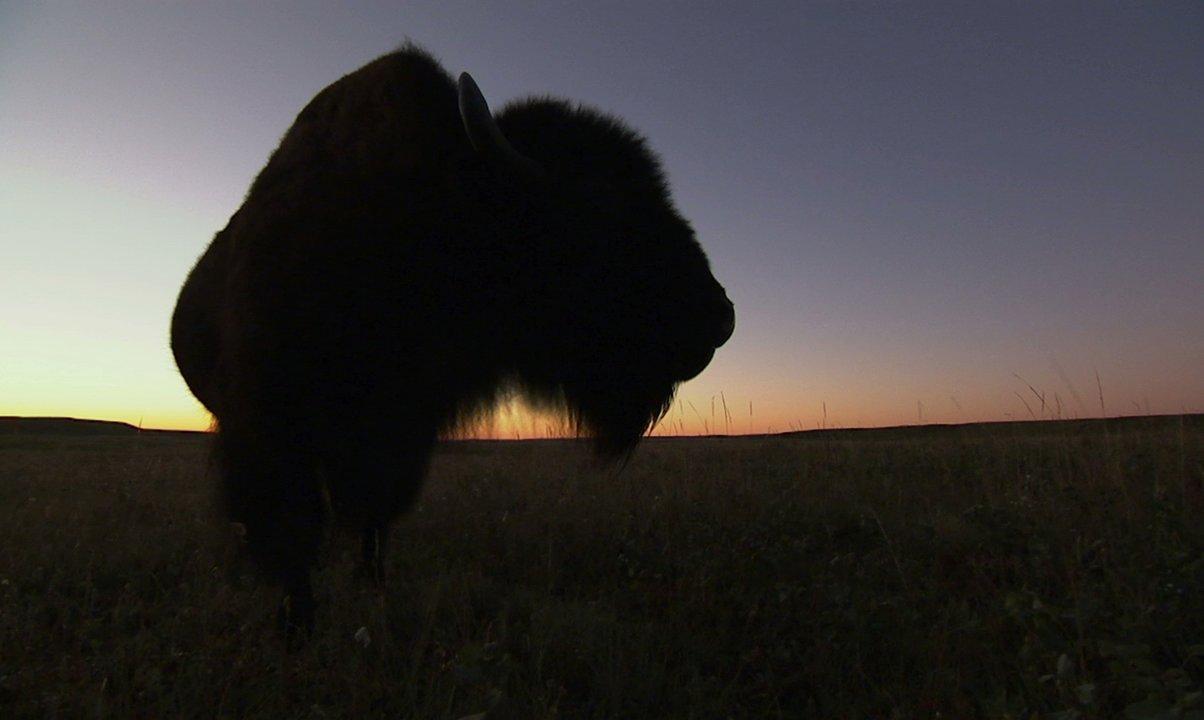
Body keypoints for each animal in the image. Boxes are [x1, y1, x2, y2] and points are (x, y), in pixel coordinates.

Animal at [171, 45, 734, 642]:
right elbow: (290, 527)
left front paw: (371, 592)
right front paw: (296, 625)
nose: (720, 317)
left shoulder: (400, 435)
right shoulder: (270, 428)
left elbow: (376, 515)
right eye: (599, 215)